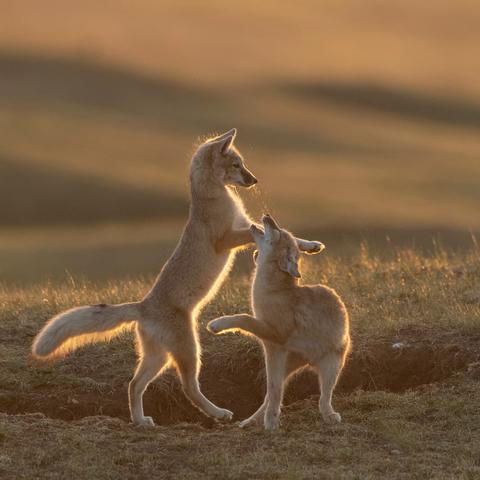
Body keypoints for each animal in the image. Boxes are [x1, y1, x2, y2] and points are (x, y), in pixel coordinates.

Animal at [31, 129, 324, 426]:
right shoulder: (228, 238)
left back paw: (140, 421)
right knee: (188, 387)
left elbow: (282, 234)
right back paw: (218, 413)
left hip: (157, 358)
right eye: (236, 165)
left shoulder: (244, 228)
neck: (212, 198)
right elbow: (266, 232)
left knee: (134, 385)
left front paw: (310, 245)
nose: (254, 180)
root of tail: (143, 306)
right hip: (190, 351)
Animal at [208, 216, 350, 430]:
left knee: (322, 399)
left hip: (330, 367)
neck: (274, 290)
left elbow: (244, 317)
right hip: (286, 365)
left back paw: (329, 416)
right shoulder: (272, 345)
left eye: (278, 232)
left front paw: (216, 325)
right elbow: (273, 391)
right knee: (272, 392)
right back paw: (250, 421)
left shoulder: (274, 337)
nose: (267, 217)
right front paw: (271, 421)